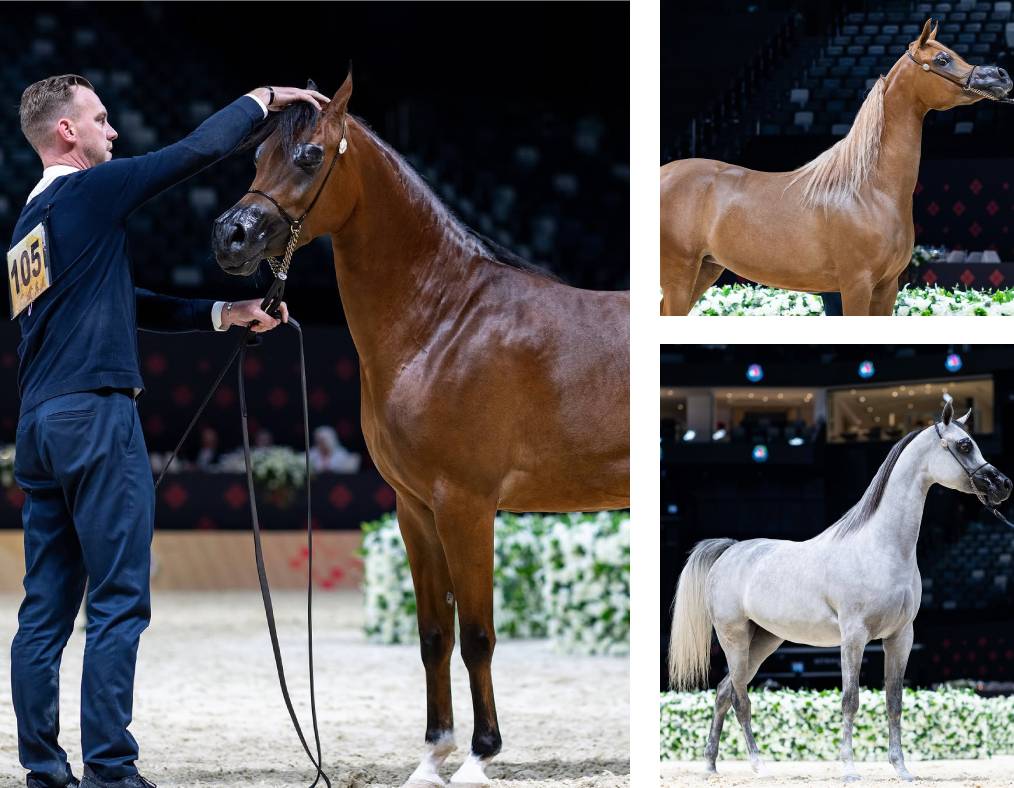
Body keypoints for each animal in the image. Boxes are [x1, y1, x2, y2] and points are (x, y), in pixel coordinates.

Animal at [210, 75, 630, 787]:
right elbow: (434, 634)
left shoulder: (467, 506)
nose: (229, 236)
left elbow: (478, 635)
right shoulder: (416, 510)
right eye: (257, 157)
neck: (444, 323)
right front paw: (434, 755)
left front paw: (480, 756)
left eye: (310, 156)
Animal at [660, 19, 1013, 316]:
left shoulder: (887, 288)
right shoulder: (856, 285)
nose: (1001, 76)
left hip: (706, 269)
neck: (870, 191)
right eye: (942, 59)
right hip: (680, 273)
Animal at [668, 400, 1012, 781]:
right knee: (740, 697)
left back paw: (711, 765)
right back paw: (759, 765)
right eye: (964, 445)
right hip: (735, 639)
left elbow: (894, 701)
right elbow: (850, 699)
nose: (1003, 485)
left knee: (723, 692)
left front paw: (901, 769)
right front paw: (848, 768)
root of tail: (729, 550)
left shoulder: (901, 637)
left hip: (764, 641)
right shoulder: (854, 636)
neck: (881, 548)